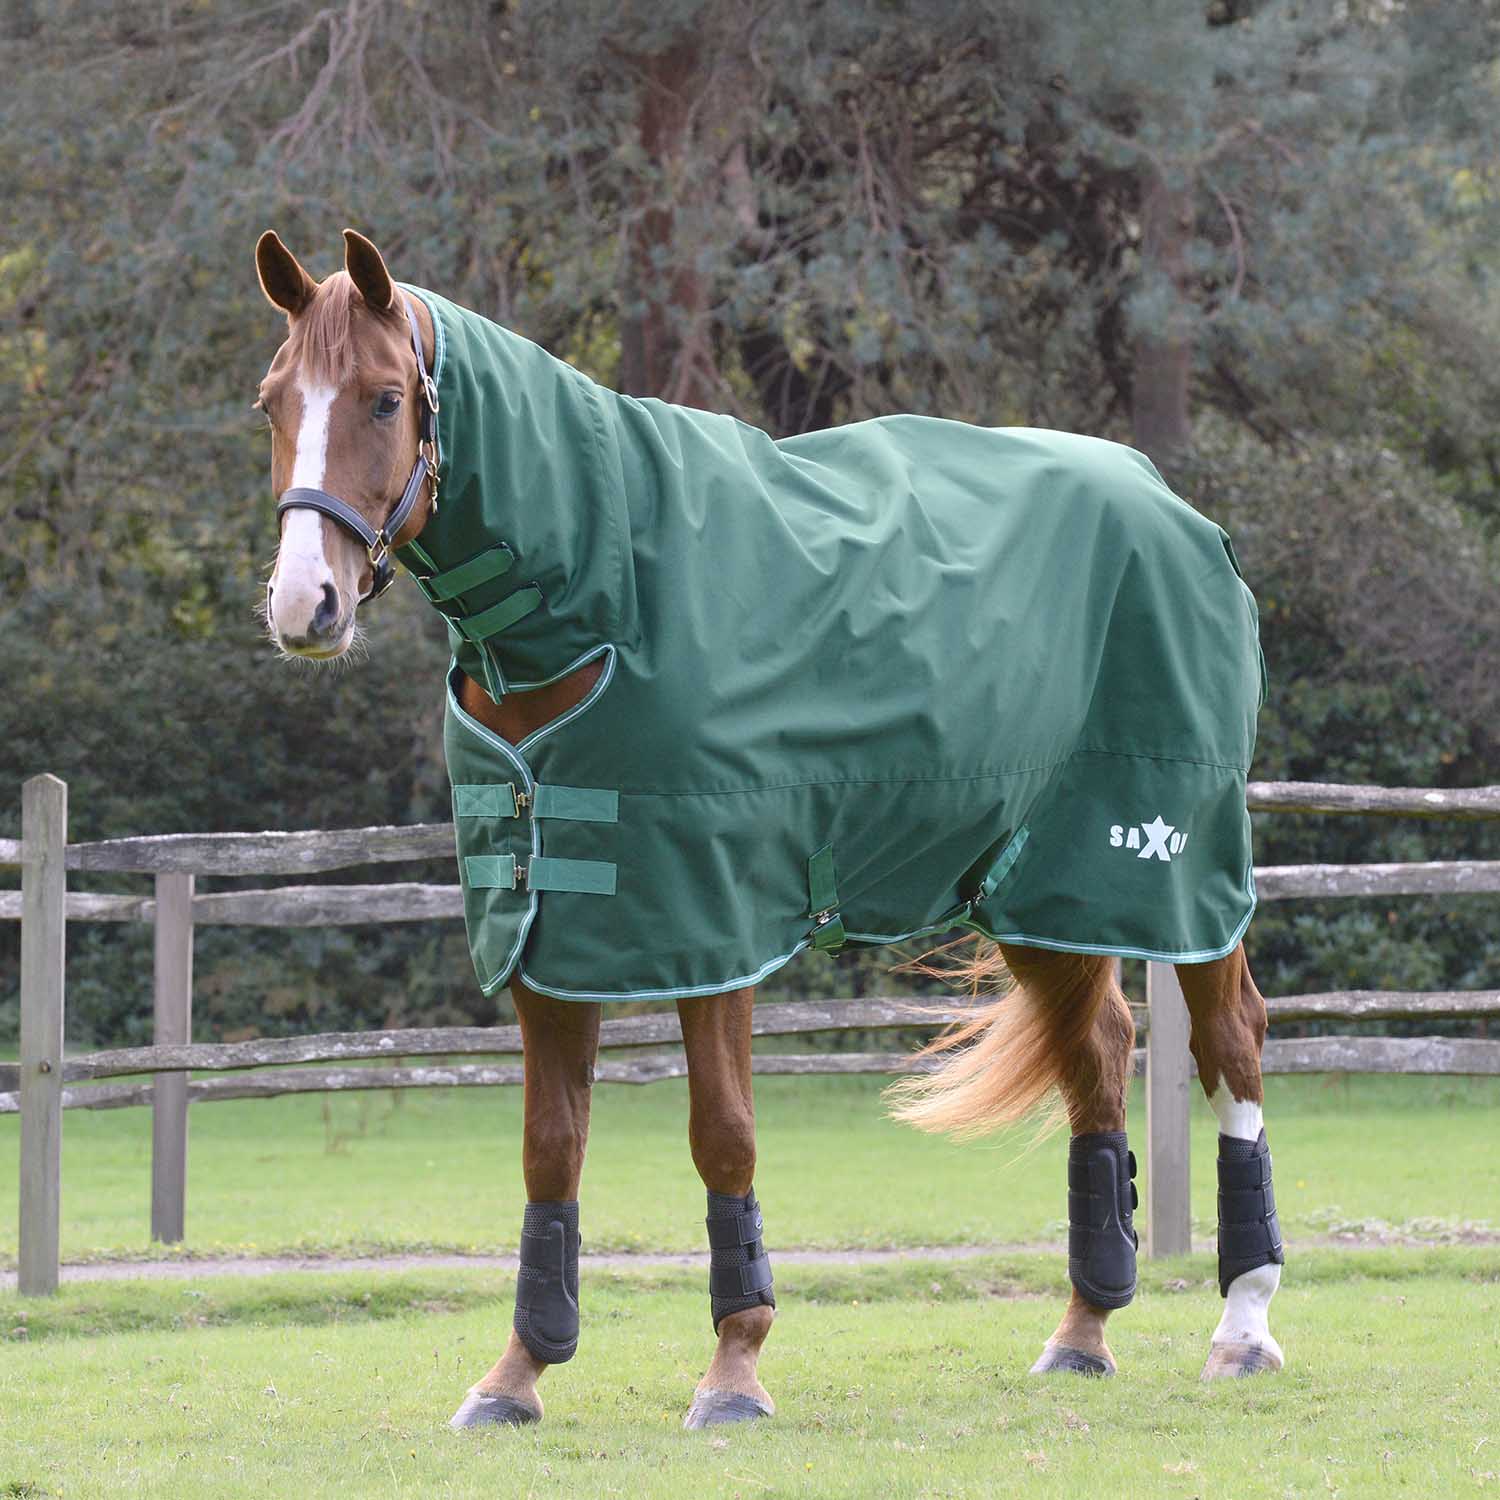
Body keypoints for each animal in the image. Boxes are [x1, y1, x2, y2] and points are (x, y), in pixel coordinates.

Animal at [253, 227, 1285, 1430]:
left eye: (382, 398)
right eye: (273, 401)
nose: (305, 606)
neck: (605, 597)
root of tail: (1175, 508)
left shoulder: (711, 926)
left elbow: (724, 1135)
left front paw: (735, 1370)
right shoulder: (546, 935)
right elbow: (551, 1152)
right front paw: (517, 1375)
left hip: (1169, 868)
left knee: (1231, 1044)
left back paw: (1244, 1325)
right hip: (1036, 883)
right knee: (1100, 1055)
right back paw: (1083, 1330)